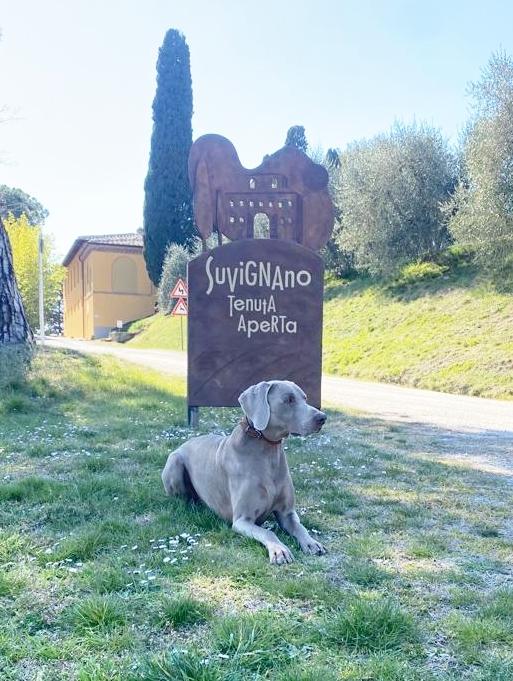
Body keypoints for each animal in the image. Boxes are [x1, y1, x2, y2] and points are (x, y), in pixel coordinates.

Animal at [162, 378, 326, 564]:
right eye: (289, 399)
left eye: (305, 398)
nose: (322, 418)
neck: (267, 451)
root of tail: (186, 441)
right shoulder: (242, 520)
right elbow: (268, 532)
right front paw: (279, 550)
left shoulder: (287, 513)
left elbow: (300, 526)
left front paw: (311, 542)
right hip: (174, 462)